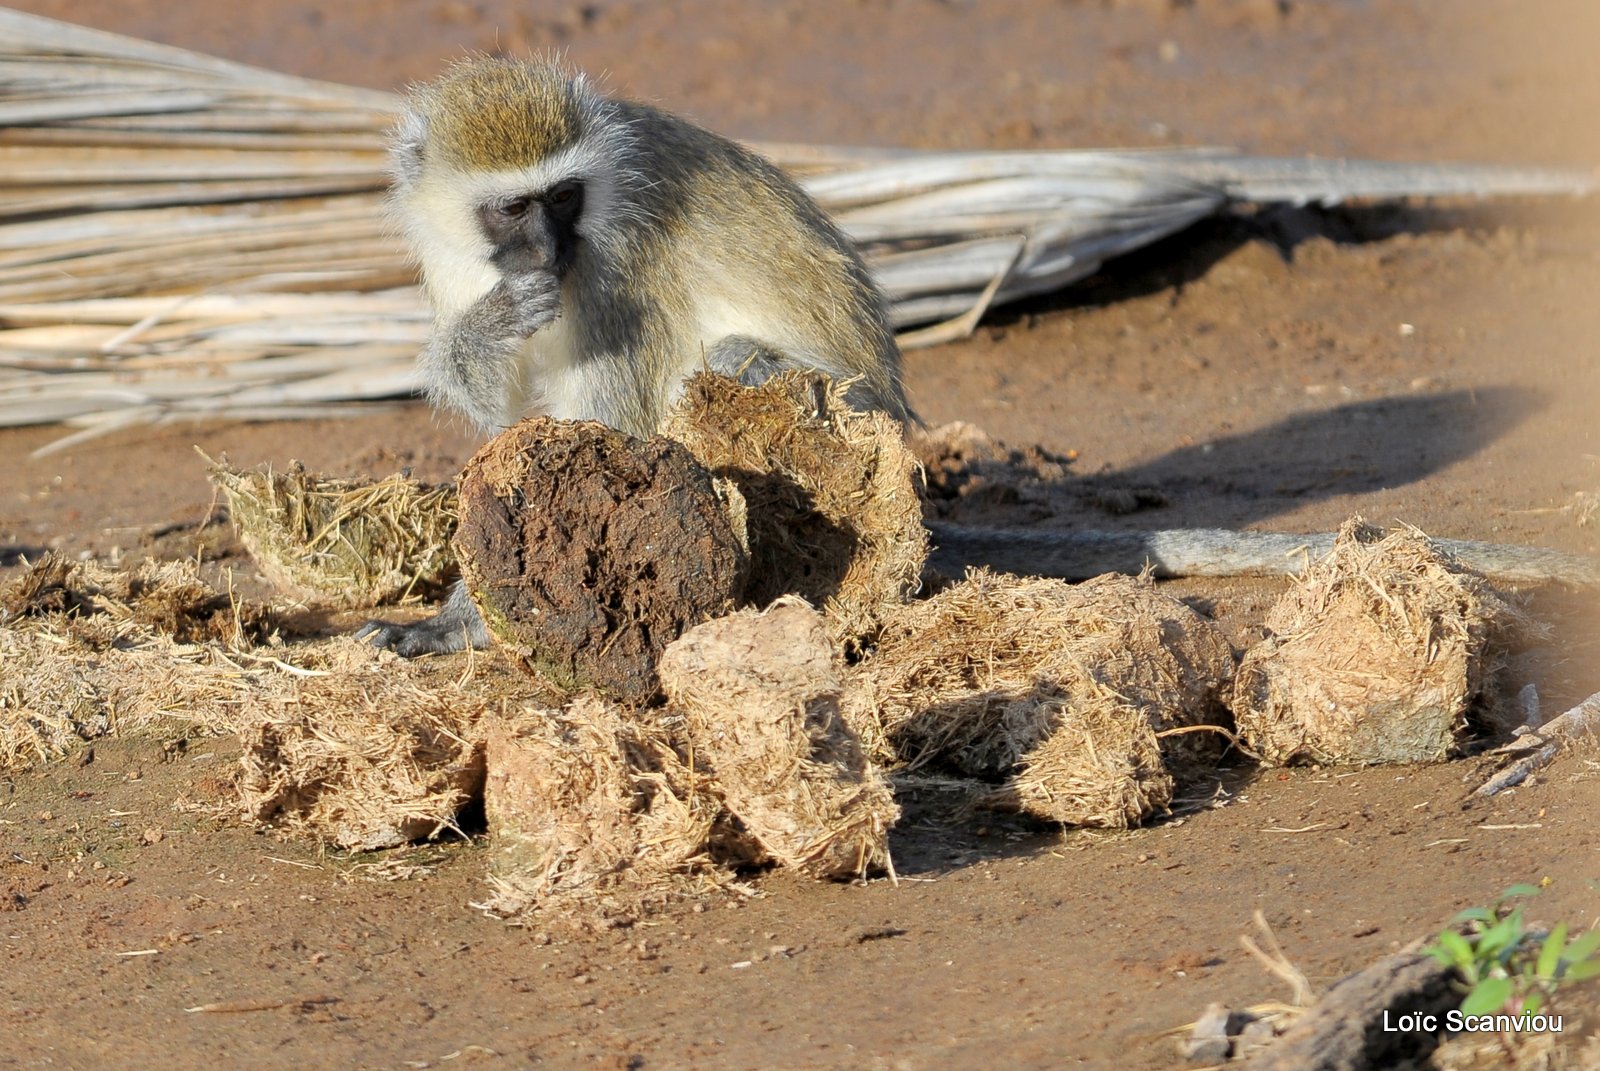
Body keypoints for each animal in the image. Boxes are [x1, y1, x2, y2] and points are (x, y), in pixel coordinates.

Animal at [366, 62, 1600, 656]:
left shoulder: (615, 270)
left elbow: (600, 442)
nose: (543, 252)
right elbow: (512, 433)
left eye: (563, 199)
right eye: (512, 208)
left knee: (732, 359)